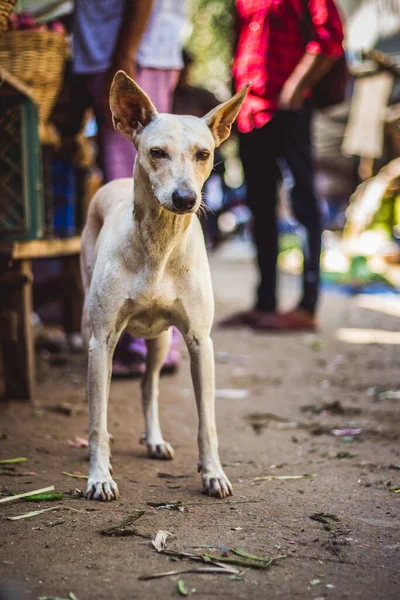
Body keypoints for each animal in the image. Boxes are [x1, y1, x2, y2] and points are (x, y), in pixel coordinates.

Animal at [80, 70, 248, 502]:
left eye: (203, 154)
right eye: (156, 152)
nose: (186, 198)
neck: (159, 243)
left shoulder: (200, 342)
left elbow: (207, 423)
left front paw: (213, 474)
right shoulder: (101, 340)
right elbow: (97, 418)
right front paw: (99, 476)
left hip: (159, 339)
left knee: (148, 385)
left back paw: (154, 439)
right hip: (94, 329)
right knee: (103, 396)